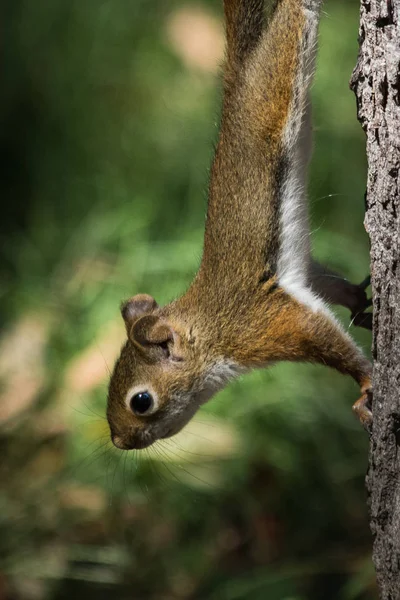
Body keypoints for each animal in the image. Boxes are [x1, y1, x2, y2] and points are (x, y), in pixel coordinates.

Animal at [106, 0, 372, 450]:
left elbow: (326, 337)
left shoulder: (265, 326)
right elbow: (327, 285)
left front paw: (367, 383)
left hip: (275, 75)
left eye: (140, 400)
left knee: (292, 17)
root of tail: (238, 80)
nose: (120, 441)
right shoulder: (297, 284)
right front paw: (358, 302)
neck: (207, 332)